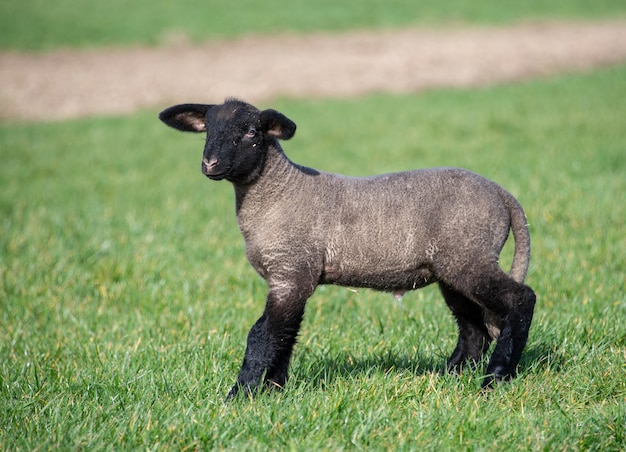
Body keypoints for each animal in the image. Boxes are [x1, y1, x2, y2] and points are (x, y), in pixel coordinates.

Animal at [158, 98, 532, 400]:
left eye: (252, 131)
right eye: (208, 130)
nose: (210, 164)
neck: (280, 191)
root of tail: (503, 195)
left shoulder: (290, 272)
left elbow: (261, 336)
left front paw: (240, 395)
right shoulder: (296, 278)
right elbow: (285, 337)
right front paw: (274, 390)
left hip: (470, 255)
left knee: (520, 299)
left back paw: (496, 377)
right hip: (452, 267)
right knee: (473, 330)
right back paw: (449, 375)